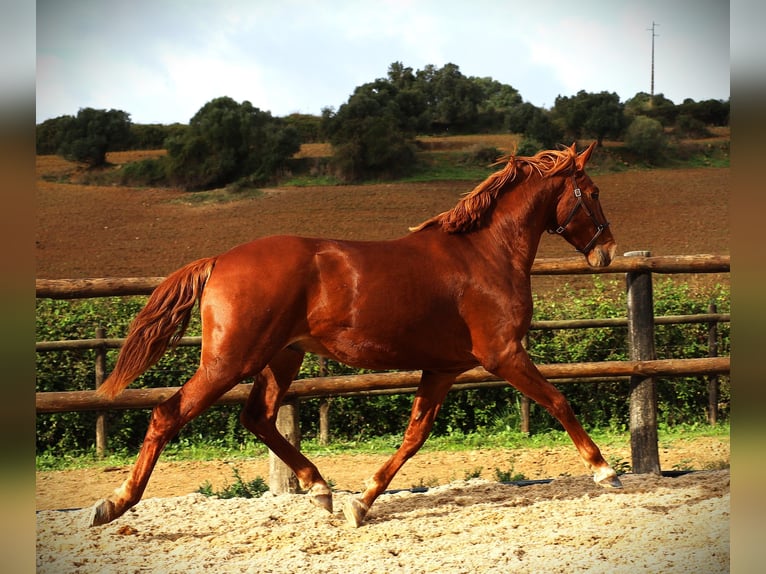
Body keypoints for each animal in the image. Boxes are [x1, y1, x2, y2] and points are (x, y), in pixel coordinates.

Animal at [90, 142, 620, 528]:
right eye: (592, 192)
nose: (608, 252)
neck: (485, 253)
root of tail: (219, 260)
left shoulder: (443, 368)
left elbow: (414, 435)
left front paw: (360, 503)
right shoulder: (503, 354)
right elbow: (558, 400)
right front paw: (605, 471)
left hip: (282, 357)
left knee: (257, 417)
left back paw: (321, 489)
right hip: (230, 361)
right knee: (167, 414)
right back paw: (113, 504)